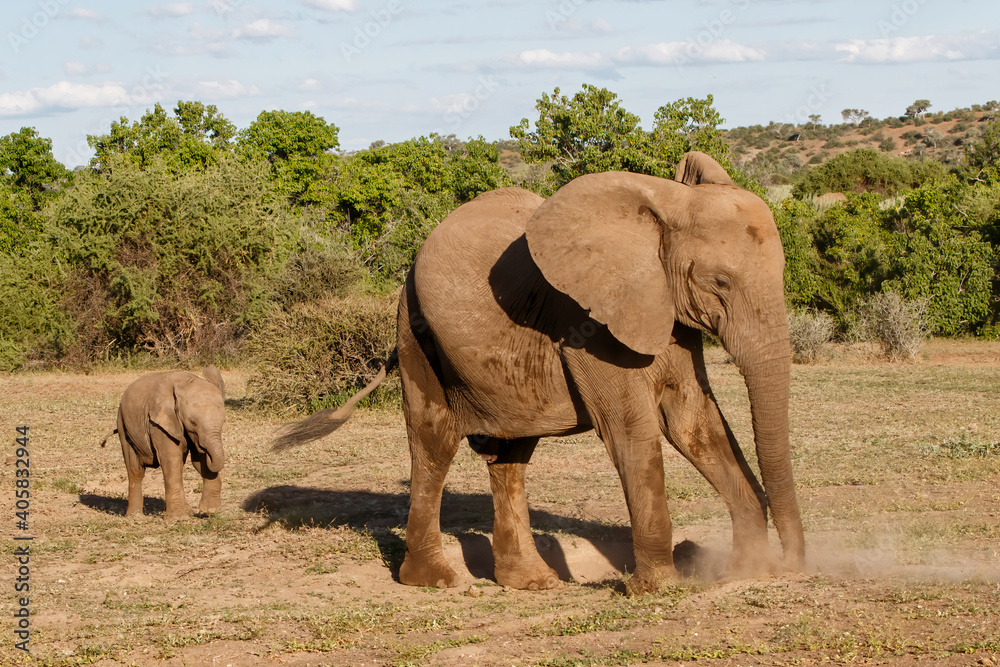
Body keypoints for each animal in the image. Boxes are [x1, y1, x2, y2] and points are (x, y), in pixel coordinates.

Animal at [102, 366, 227, 519]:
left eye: (223, 421)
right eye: (193, 422)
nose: (203, 447)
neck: (186, 382)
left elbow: (197, 461)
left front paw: (210, 511)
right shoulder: (157, 423)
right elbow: (170, 460)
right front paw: (179, 518)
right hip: (123, 424)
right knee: (135, 470)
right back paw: (135, 517)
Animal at [275, 152, 805, 595]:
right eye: (720, 282)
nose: (793, 565)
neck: (661, 208)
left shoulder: (666, 312)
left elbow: (693, 419)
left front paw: (746, 570)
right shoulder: (585, 320)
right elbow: (632, 429)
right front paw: (658, 588)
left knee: (510, 456)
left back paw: (531, 583)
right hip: (415, 330)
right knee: (433, 442)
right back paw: (435, 581)